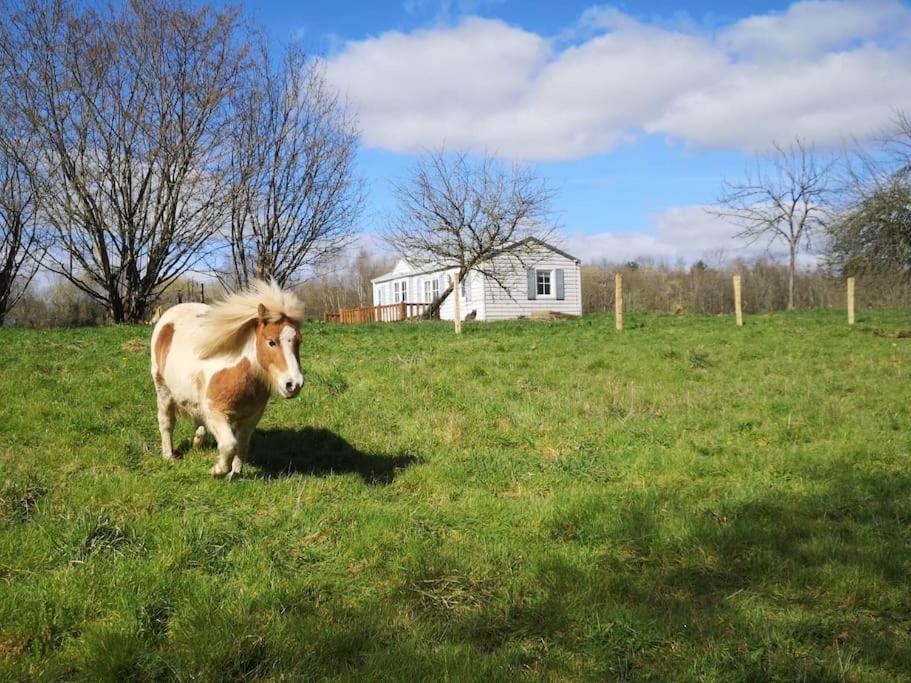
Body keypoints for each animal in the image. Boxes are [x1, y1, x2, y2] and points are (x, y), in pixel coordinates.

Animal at [151, 280, 306, 478]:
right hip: (163, 390)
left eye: (298, 341)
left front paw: (235, 474)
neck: (236, 373)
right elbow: (229, 445)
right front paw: (217, 470)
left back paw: (197, 443)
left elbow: (242, 446)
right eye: (271, 342)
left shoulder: (251, 418)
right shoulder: (216, 414)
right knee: (166, 422)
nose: (294, 384)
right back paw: (169, 455)